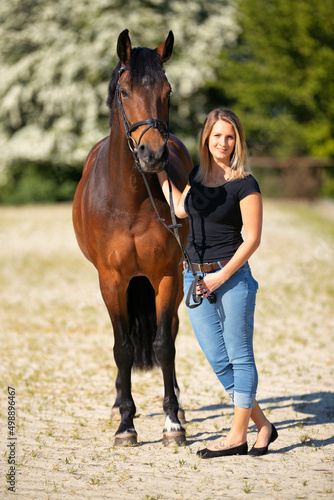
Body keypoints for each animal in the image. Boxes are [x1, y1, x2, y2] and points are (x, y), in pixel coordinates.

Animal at [73, 29, 193, 448]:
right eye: (124, 91)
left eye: (168, 91)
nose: (153, 154)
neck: (130, 200)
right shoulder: (111, 281)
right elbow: (122, 348)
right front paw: (126, 424)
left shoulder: (167, 276)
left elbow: (163, 345)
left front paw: (172, 423)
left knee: (169, 331)